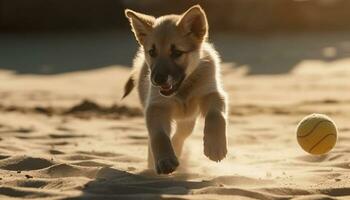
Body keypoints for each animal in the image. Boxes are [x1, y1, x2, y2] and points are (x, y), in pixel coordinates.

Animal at [122, 4, 227, 173]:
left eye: (177, 52)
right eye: (152, 52)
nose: (157, 80)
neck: (183, 89)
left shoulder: (212, 94)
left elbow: (215, 116)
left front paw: (215, 146)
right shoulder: (156, 107)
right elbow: (159, 135)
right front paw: (164, 160)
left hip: (188, 120)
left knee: (181, 135)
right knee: (156, 138)